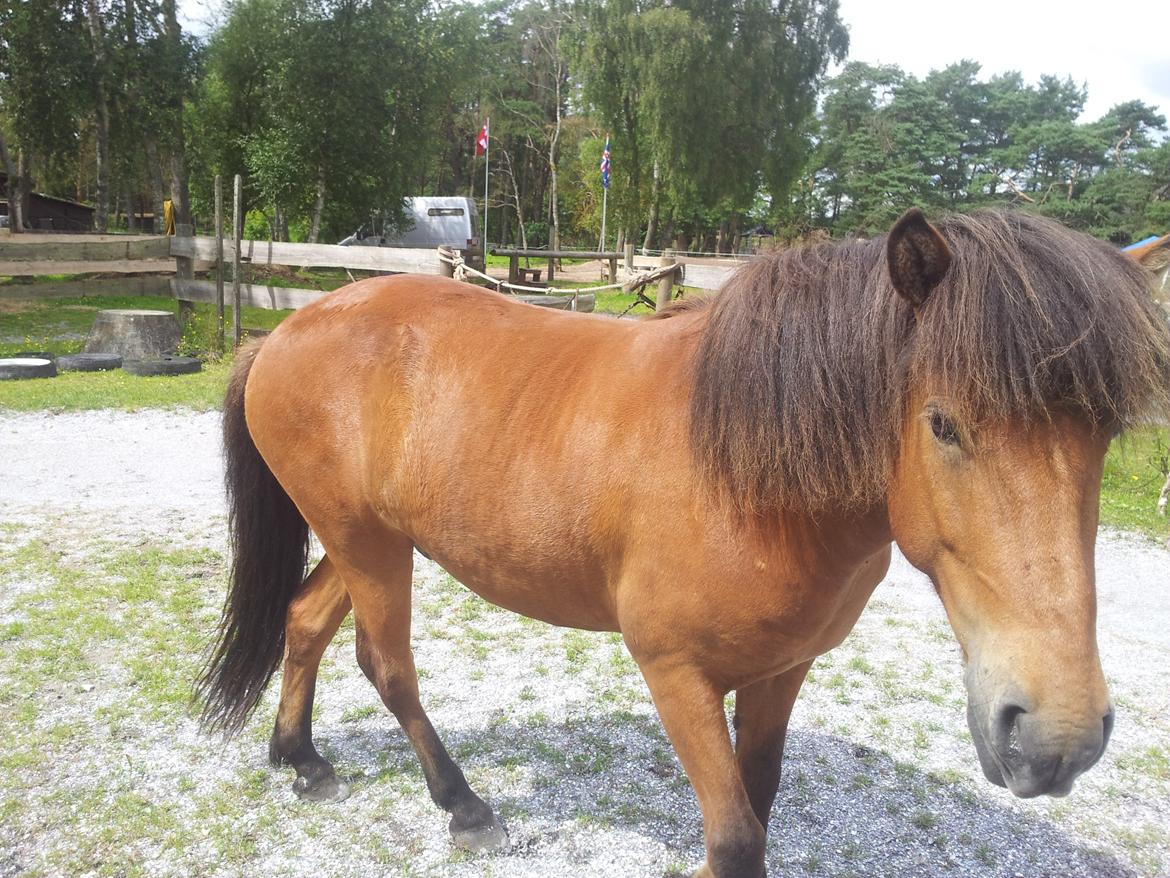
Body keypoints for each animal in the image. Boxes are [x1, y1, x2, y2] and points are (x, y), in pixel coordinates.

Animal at [198, 208, 1170, 878]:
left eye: (1108, 433)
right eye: (944, 423)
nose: (1056, 737)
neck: (748, 474)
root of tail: (286, 329)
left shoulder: (783, 671)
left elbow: (758, 807)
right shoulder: (676, 673)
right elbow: (736, 839)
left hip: (366, 539)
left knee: (305, 622)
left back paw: (302, 759)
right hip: (366, 544)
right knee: (385, 663)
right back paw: (463, 806)